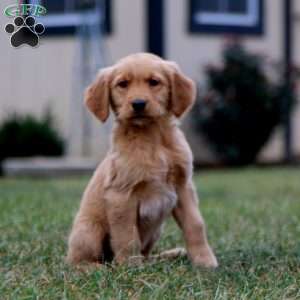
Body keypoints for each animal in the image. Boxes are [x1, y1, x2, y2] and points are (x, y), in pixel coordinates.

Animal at [67, 53, 218, 268]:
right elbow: (127, 235)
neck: (152, 139)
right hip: (88, 230)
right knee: (76, 261)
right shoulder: (121, 194)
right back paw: (97, 267)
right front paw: (130, 266)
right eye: (122, 84)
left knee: (147, 254)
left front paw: (204, 260)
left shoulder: (183, 187)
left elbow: (195, 225)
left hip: (156, 230)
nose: (138, 104)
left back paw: (168, 255)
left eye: (154, 82)